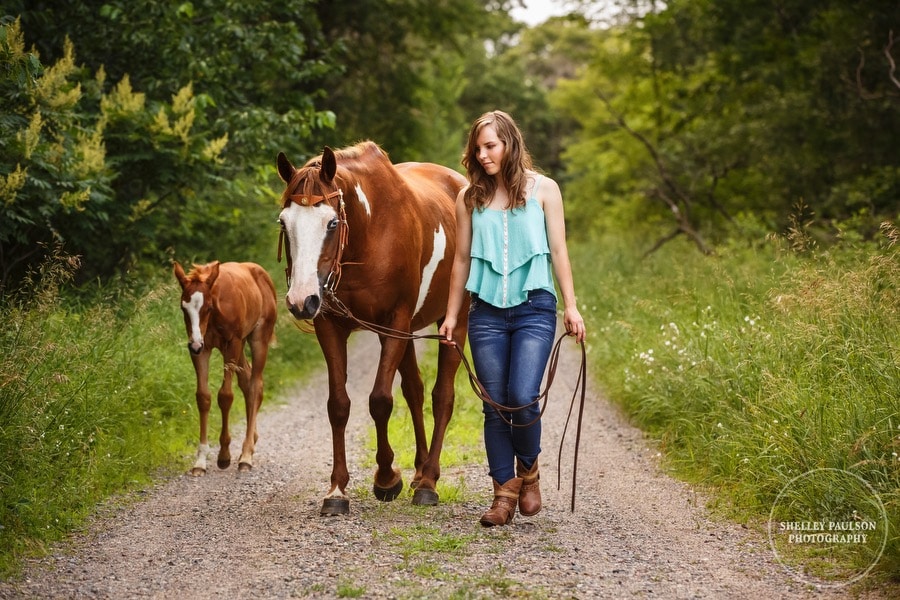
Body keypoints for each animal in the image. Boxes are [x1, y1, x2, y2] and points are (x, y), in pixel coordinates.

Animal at [173, 260, 278, 476]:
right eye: (183, 308)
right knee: (247, 381)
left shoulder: (232, 343)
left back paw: (246, 455)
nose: (194, 344)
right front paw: (200, 461)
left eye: (208, 307)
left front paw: (223, 455)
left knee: (255, 385)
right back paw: (251, 442)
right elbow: (203, 397)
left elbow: (225, 396)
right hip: (239, 345)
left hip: (257, 339)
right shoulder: (202, 349)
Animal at [278, 142, 468, 516]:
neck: (370, 231)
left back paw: (428, 482)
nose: (300, 300)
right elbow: (338, 405)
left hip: (454, 320)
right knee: (415, 391)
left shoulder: (394, 321)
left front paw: (386, 479)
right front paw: (337, 490)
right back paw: (419, 471)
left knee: (442, 396)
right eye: (284, 222)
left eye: (331, 222)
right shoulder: (330, 325)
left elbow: (380, 400)